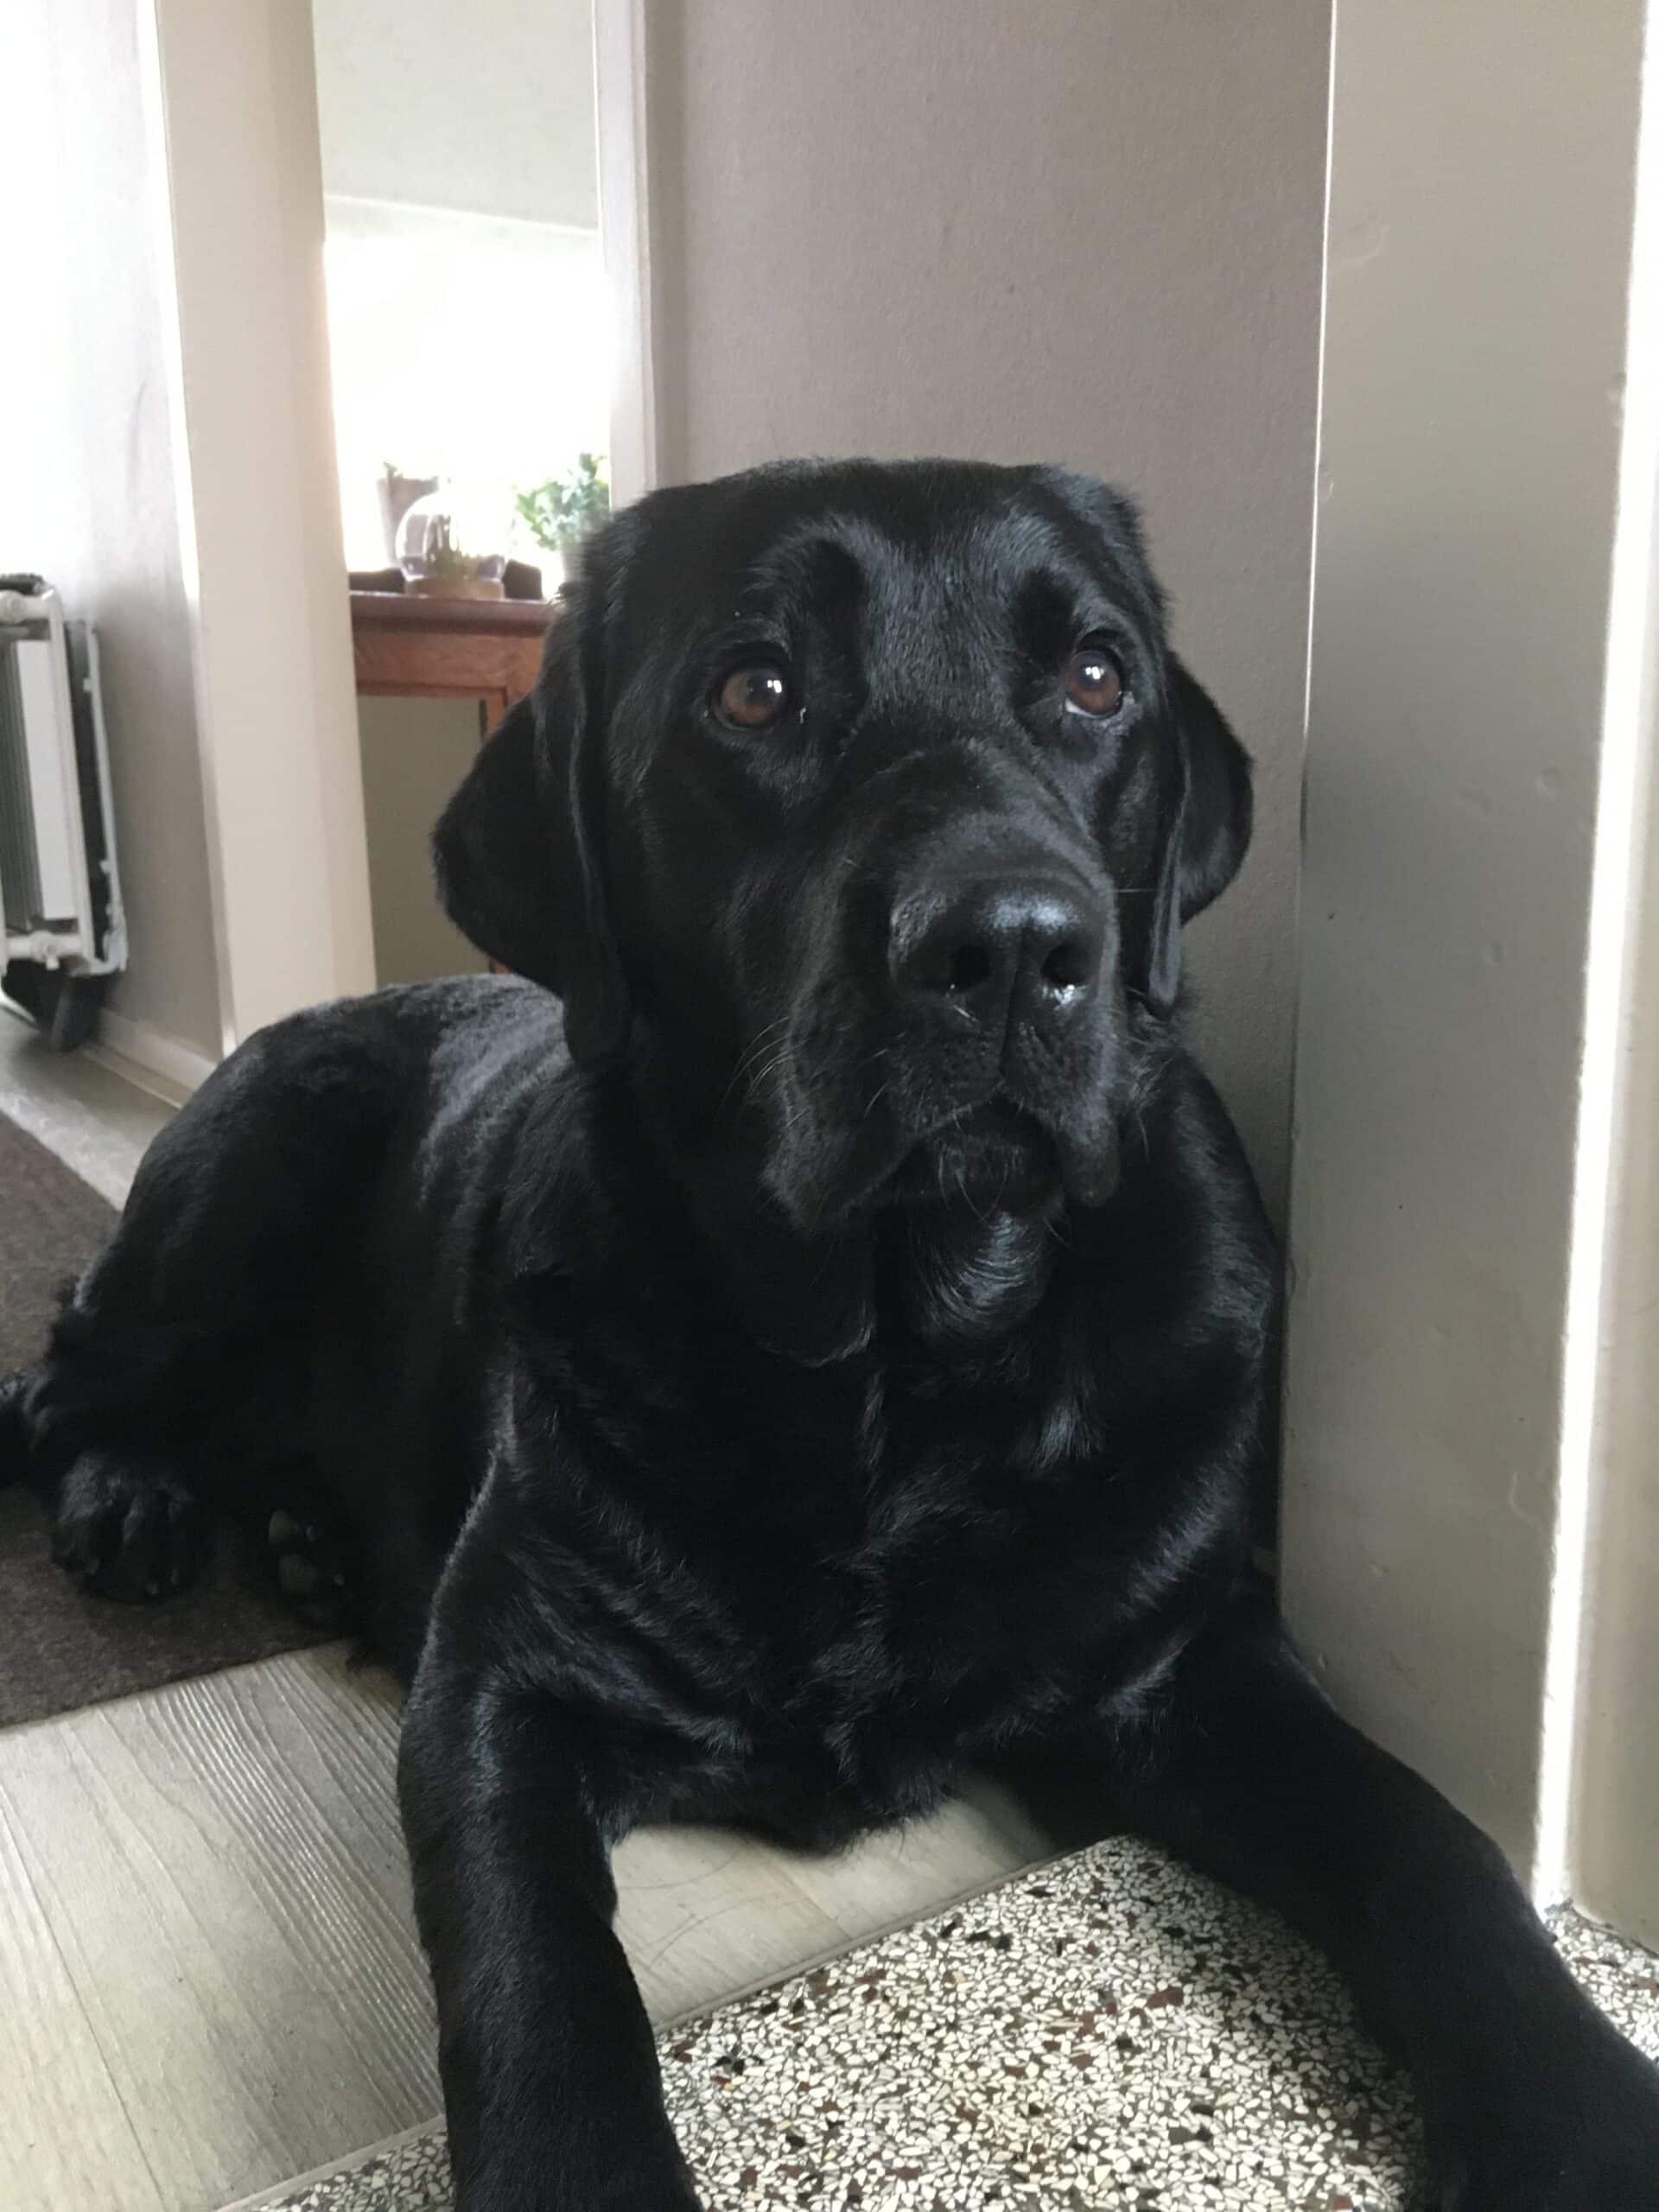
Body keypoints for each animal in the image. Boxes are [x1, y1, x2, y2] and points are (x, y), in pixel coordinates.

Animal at [5, 459, 1657, 2209]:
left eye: (1097, 678)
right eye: (756, 689)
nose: (1013, 947)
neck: (898, 1368)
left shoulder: (1188, 1654)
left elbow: (1428, 1836)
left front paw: (1585, 2114)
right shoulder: (503, 1686)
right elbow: (535, 1976)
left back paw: (302, 1539)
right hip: (255, 1151)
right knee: (61, 1386)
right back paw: (137, 1502)